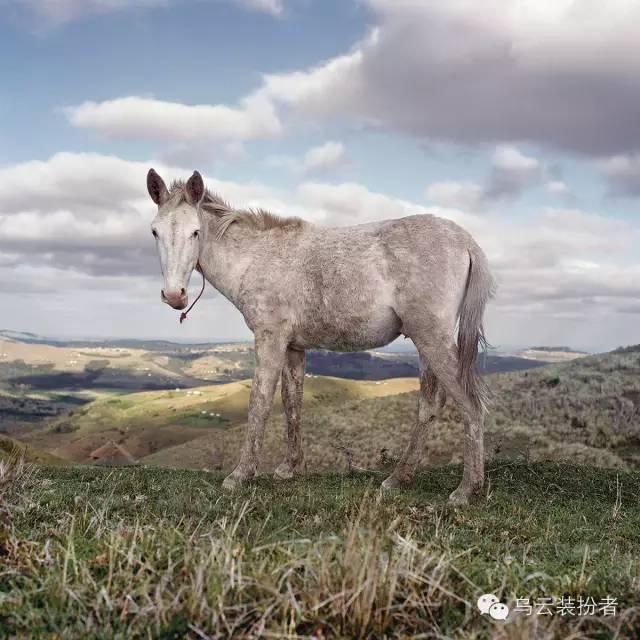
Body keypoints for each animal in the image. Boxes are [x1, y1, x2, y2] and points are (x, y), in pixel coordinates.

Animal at [146, 170, 496, 504]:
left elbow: (259, 402)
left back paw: (466, 489)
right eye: (155, 232)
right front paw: (289, 467)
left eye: (195, 232)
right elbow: (292, 403)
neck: (255, 257)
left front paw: (241, 474)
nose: (174, 295)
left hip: (432, 340)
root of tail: (465, 241)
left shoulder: (270, 338)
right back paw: (398, 479)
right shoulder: (293, 347)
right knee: (429, 405)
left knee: (470, 406)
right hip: (425, 344)